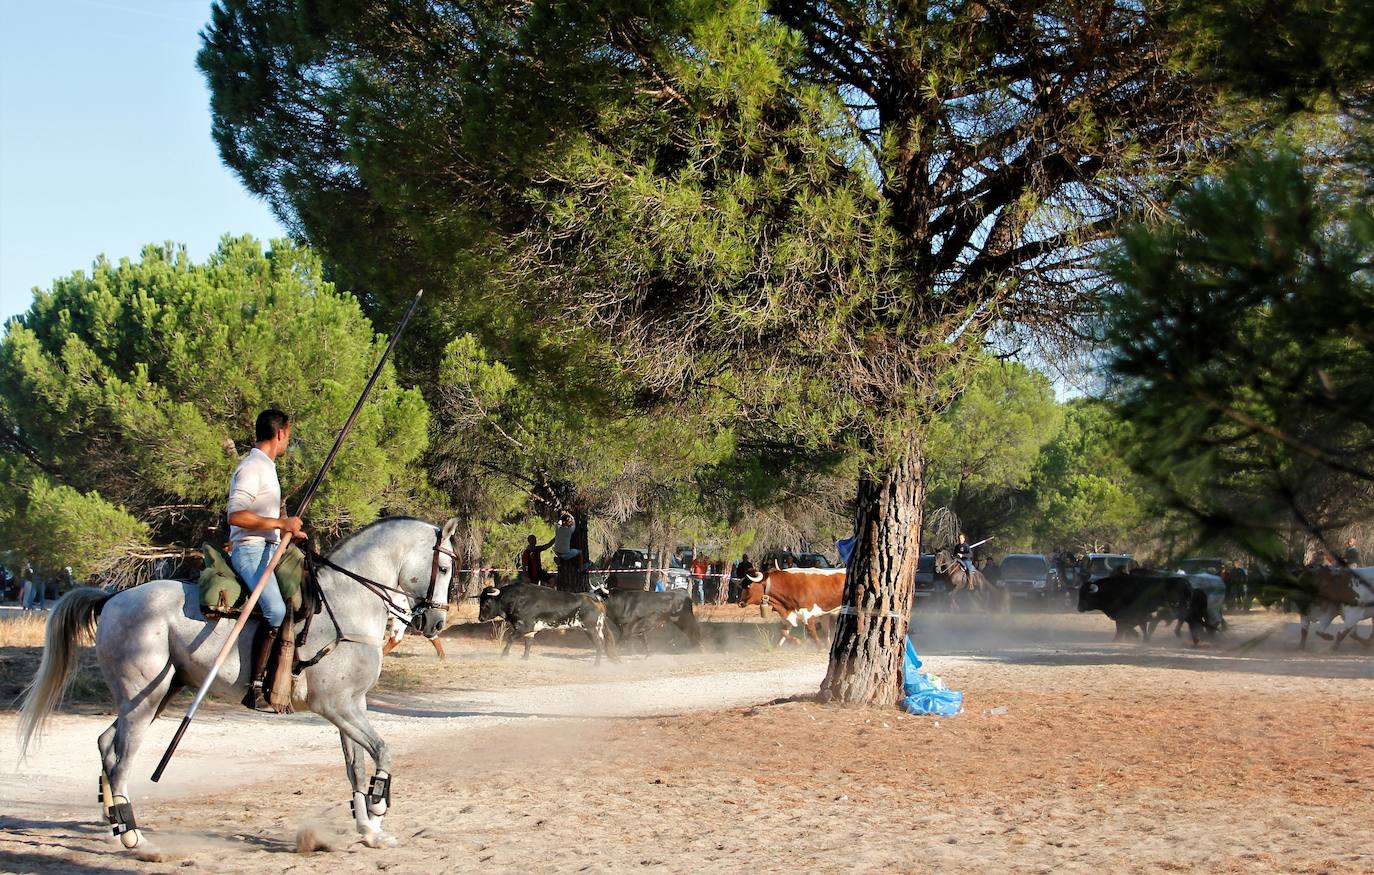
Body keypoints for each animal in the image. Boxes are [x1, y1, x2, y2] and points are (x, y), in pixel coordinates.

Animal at [17, 516, 456, 851]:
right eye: (445, 568)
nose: (436, 622)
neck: (345, 604)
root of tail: (112, 598)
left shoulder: (352, 706)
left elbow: (356, 767)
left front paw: (369, 830)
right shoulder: (336, 707)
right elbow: (382, 751)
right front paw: (380, 806)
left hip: (155, 695)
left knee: (107, 745)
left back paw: (115, 824)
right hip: (144, 699)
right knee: (121, 761)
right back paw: (134, 838)